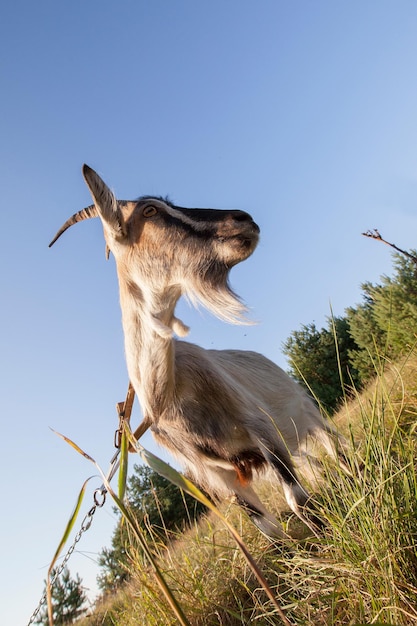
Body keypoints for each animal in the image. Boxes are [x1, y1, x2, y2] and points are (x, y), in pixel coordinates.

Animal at [50, 166, 346, 536]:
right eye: (150, 211)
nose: (244, 219)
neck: (169, 396)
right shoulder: (216, 475)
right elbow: (266, 527)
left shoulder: (260, 426)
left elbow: (298, 500)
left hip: (308, 410)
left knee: (337, 448)